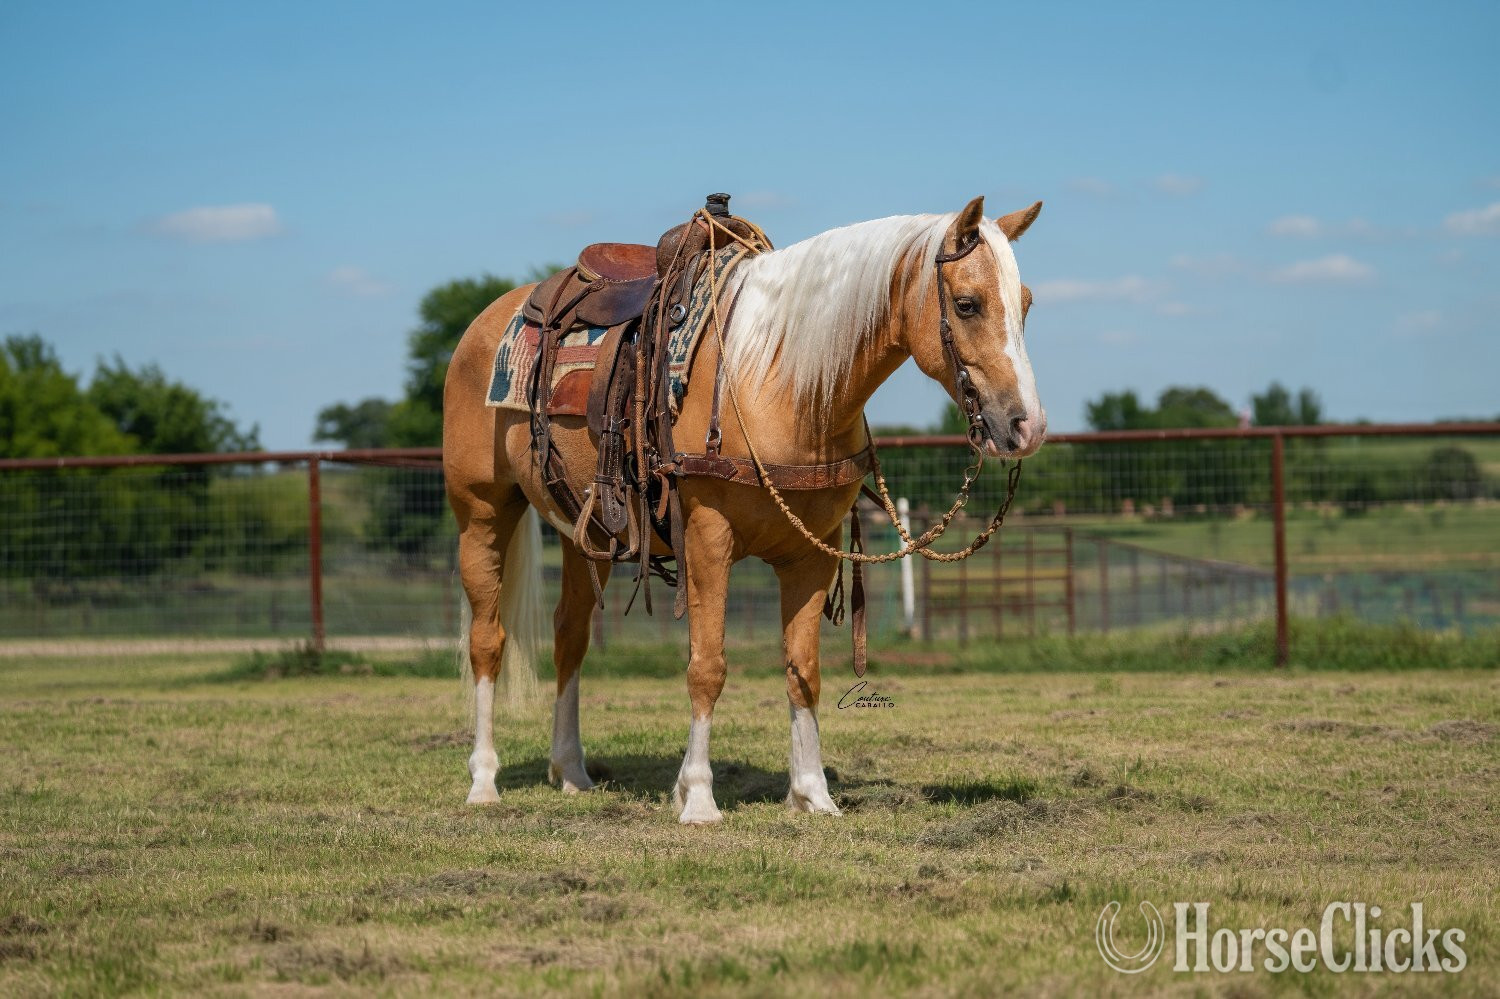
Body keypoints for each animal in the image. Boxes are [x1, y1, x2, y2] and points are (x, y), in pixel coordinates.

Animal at [442, 195, 1046, 824]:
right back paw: (483, 781)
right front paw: (698, 798)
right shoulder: (709, 540)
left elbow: (803, 670)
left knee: (570, 635)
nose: (1026, 426)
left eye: (1026, 304)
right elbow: (707, 667)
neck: (779, 382)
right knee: (487, 639)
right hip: (481, 513)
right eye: (967, 304)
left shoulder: (813, 553)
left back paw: (572, 772)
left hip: (587, 533)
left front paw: (812, 794)